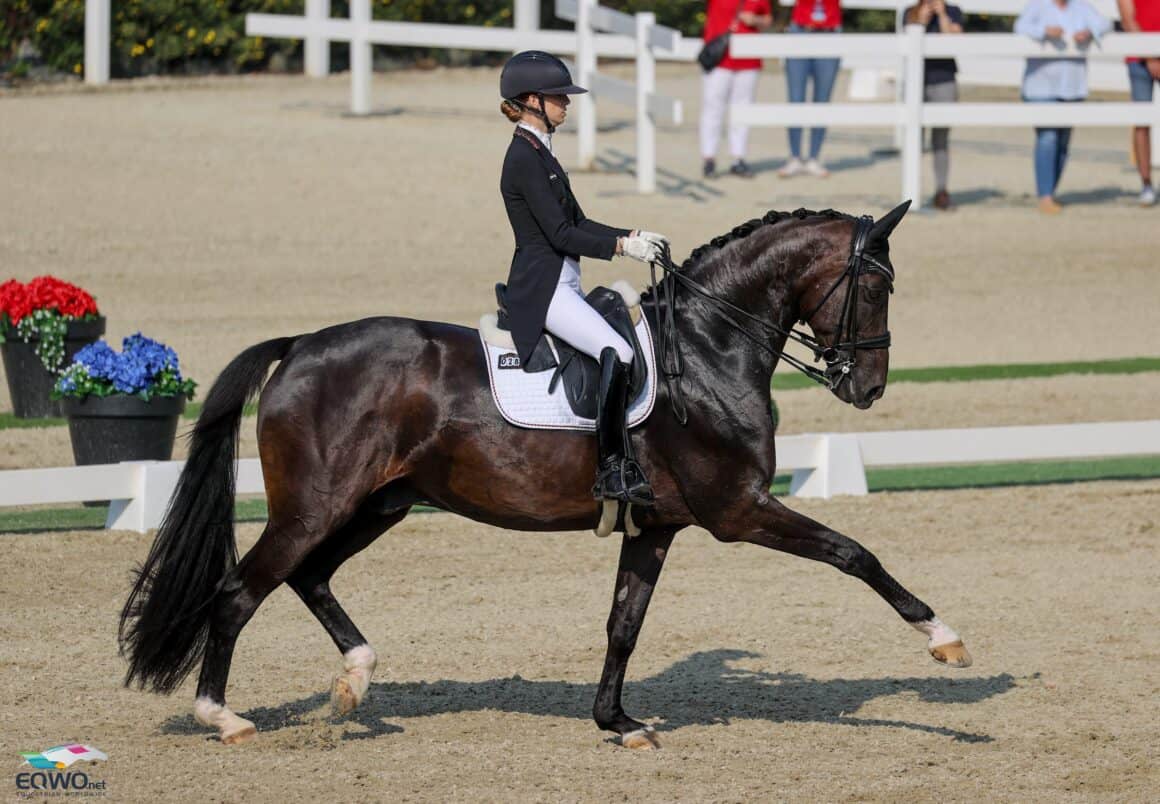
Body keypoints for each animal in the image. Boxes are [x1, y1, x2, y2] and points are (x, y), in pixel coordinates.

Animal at [120, 200, 969, 747]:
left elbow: (624, 624)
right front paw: (944, 639)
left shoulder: (658, 525)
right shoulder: (737, 510)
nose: (869, 388)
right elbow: (854, 554)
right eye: (878, 285)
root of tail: (299, 346)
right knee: (240, 592)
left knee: (308, 576)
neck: (709, 346)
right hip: (317, 505)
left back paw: (354, 681)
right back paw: (223, 717)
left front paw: (617, 724)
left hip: (376, 505)